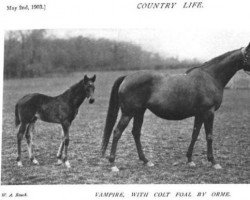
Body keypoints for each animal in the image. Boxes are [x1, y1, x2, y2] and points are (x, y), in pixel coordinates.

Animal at [101, 43, 250, 171]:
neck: (211, 77)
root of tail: (127, 76)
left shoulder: (200, 114)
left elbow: (195, 135)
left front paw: (190, 160)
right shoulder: (209, 112)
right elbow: (209, 136)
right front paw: (214, 162)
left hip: (139, 112)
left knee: (136, 133)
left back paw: (146, 160)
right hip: (128, 113)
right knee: (117, 132)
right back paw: (113, 164)